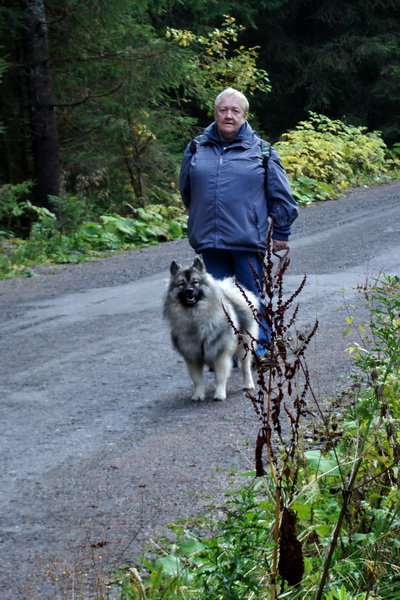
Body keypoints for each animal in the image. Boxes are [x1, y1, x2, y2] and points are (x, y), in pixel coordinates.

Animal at [163, 256, 260, 400]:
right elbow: (197, 380)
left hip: (244, 346)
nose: (189, 291)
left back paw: (248, 384)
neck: (194, 316)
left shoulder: (219, 354)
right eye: (181, 284)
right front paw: (198, 395)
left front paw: (219, 394)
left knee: (245, 367)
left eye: (195, 282)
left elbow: (220, 377)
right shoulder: (192, 357)